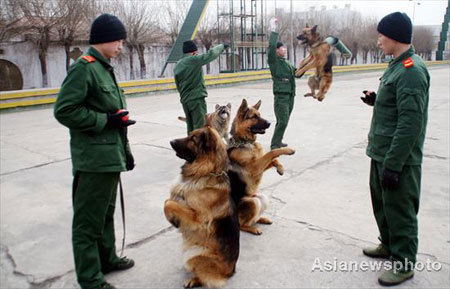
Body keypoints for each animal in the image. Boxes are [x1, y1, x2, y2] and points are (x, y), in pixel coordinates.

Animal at [163, 126, 239, 288]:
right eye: (189, 135)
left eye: (193, 139)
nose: (171, 141)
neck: (205, 172)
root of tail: (230, 272)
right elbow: (168, 201)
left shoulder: (199, 220)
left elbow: (169, 203)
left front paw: (173, 220)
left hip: (193, 255)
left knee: (208, 278)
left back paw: (194, 280)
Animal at [229, 99, 296, 234]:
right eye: (254, 117)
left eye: (259, 115)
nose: (270, 123)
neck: (244, 142)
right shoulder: (255, 168)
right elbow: (272, 152)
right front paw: (288, 150)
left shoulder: (259, 167)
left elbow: (273, 160)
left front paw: (280, 168)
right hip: (252, 201)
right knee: (241, 225)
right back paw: (254, 229)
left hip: (262, 198)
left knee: (254, 218)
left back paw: (263, 219)